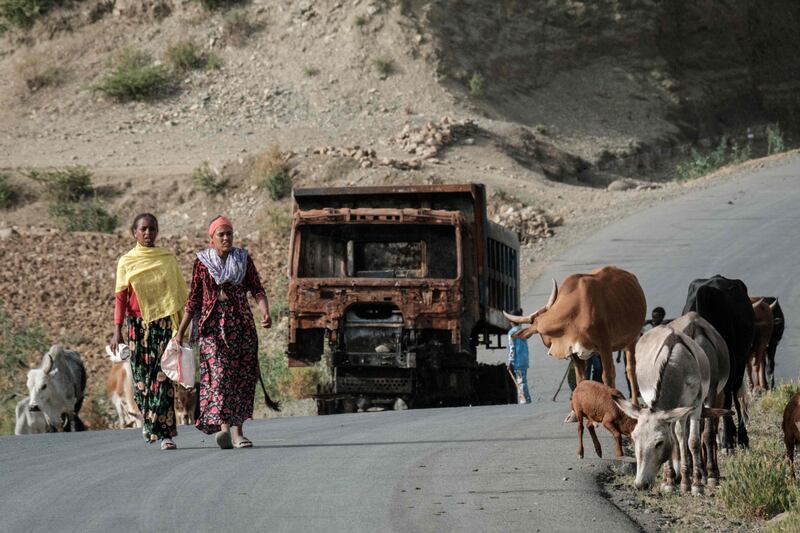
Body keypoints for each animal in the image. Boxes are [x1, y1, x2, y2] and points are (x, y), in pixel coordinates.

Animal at [506, 266, 648, 404]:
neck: (575, 312)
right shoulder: (574, 351)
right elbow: (581, 381)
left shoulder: (604, 344)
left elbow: (607, 375)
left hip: (632, 338)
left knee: (630, 369)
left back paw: (635, 403)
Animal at [684, 276, 752, 450]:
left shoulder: (732, 364)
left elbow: (728, 400)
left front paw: (727, 441)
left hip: (740, 362)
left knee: (734, 395)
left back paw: (741, 436)